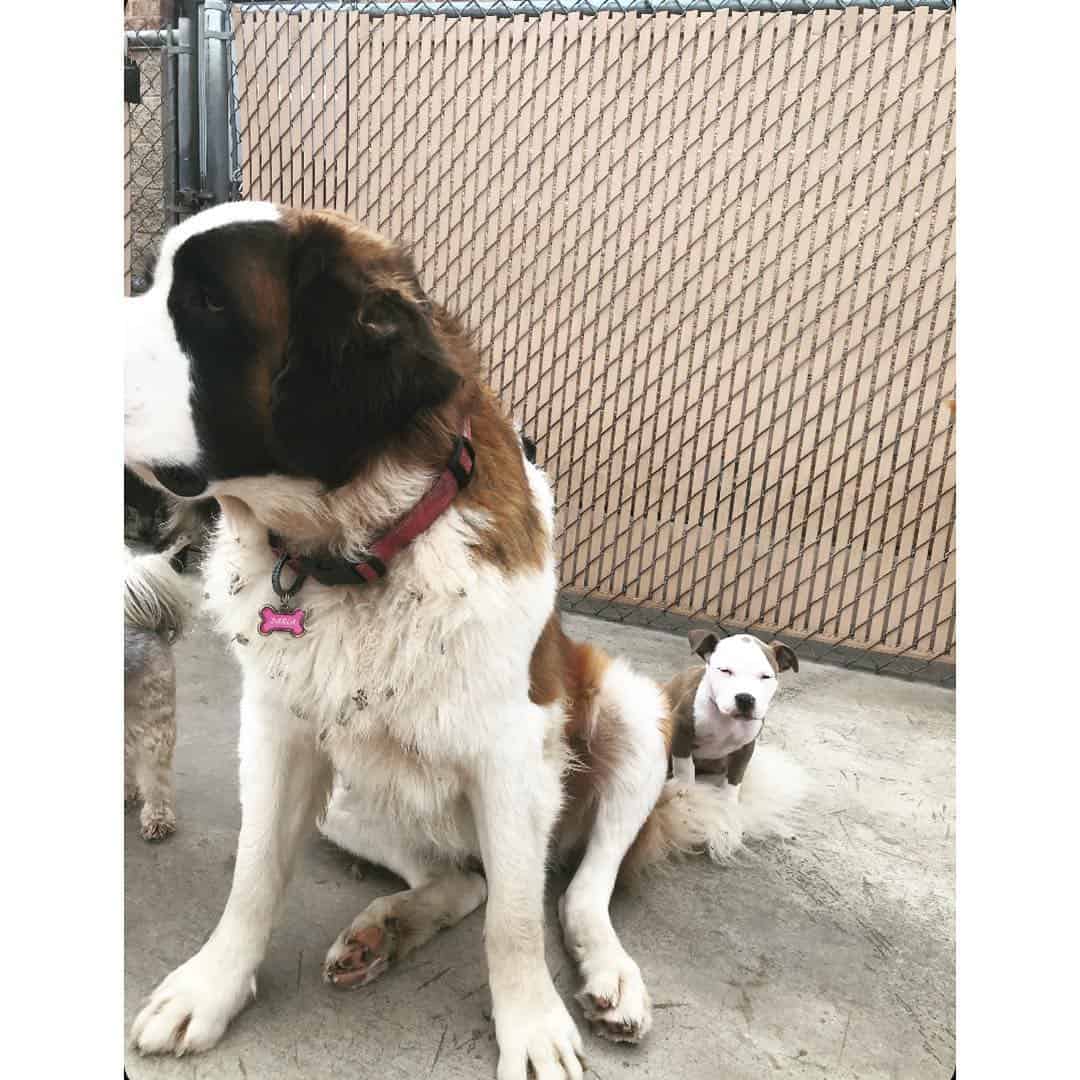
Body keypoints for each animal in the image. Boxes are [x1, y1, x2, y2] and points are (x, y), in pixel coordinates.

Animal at [660, 630, 799, 799]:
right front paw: (683, 785)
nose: (745, 698)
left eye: (765, 676)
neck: (727, 719)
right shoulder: (681, 726)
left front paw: (728, 800)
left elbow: (736, 776)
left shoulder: (746, 747)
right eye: (725, 671)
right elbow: (684, 765)